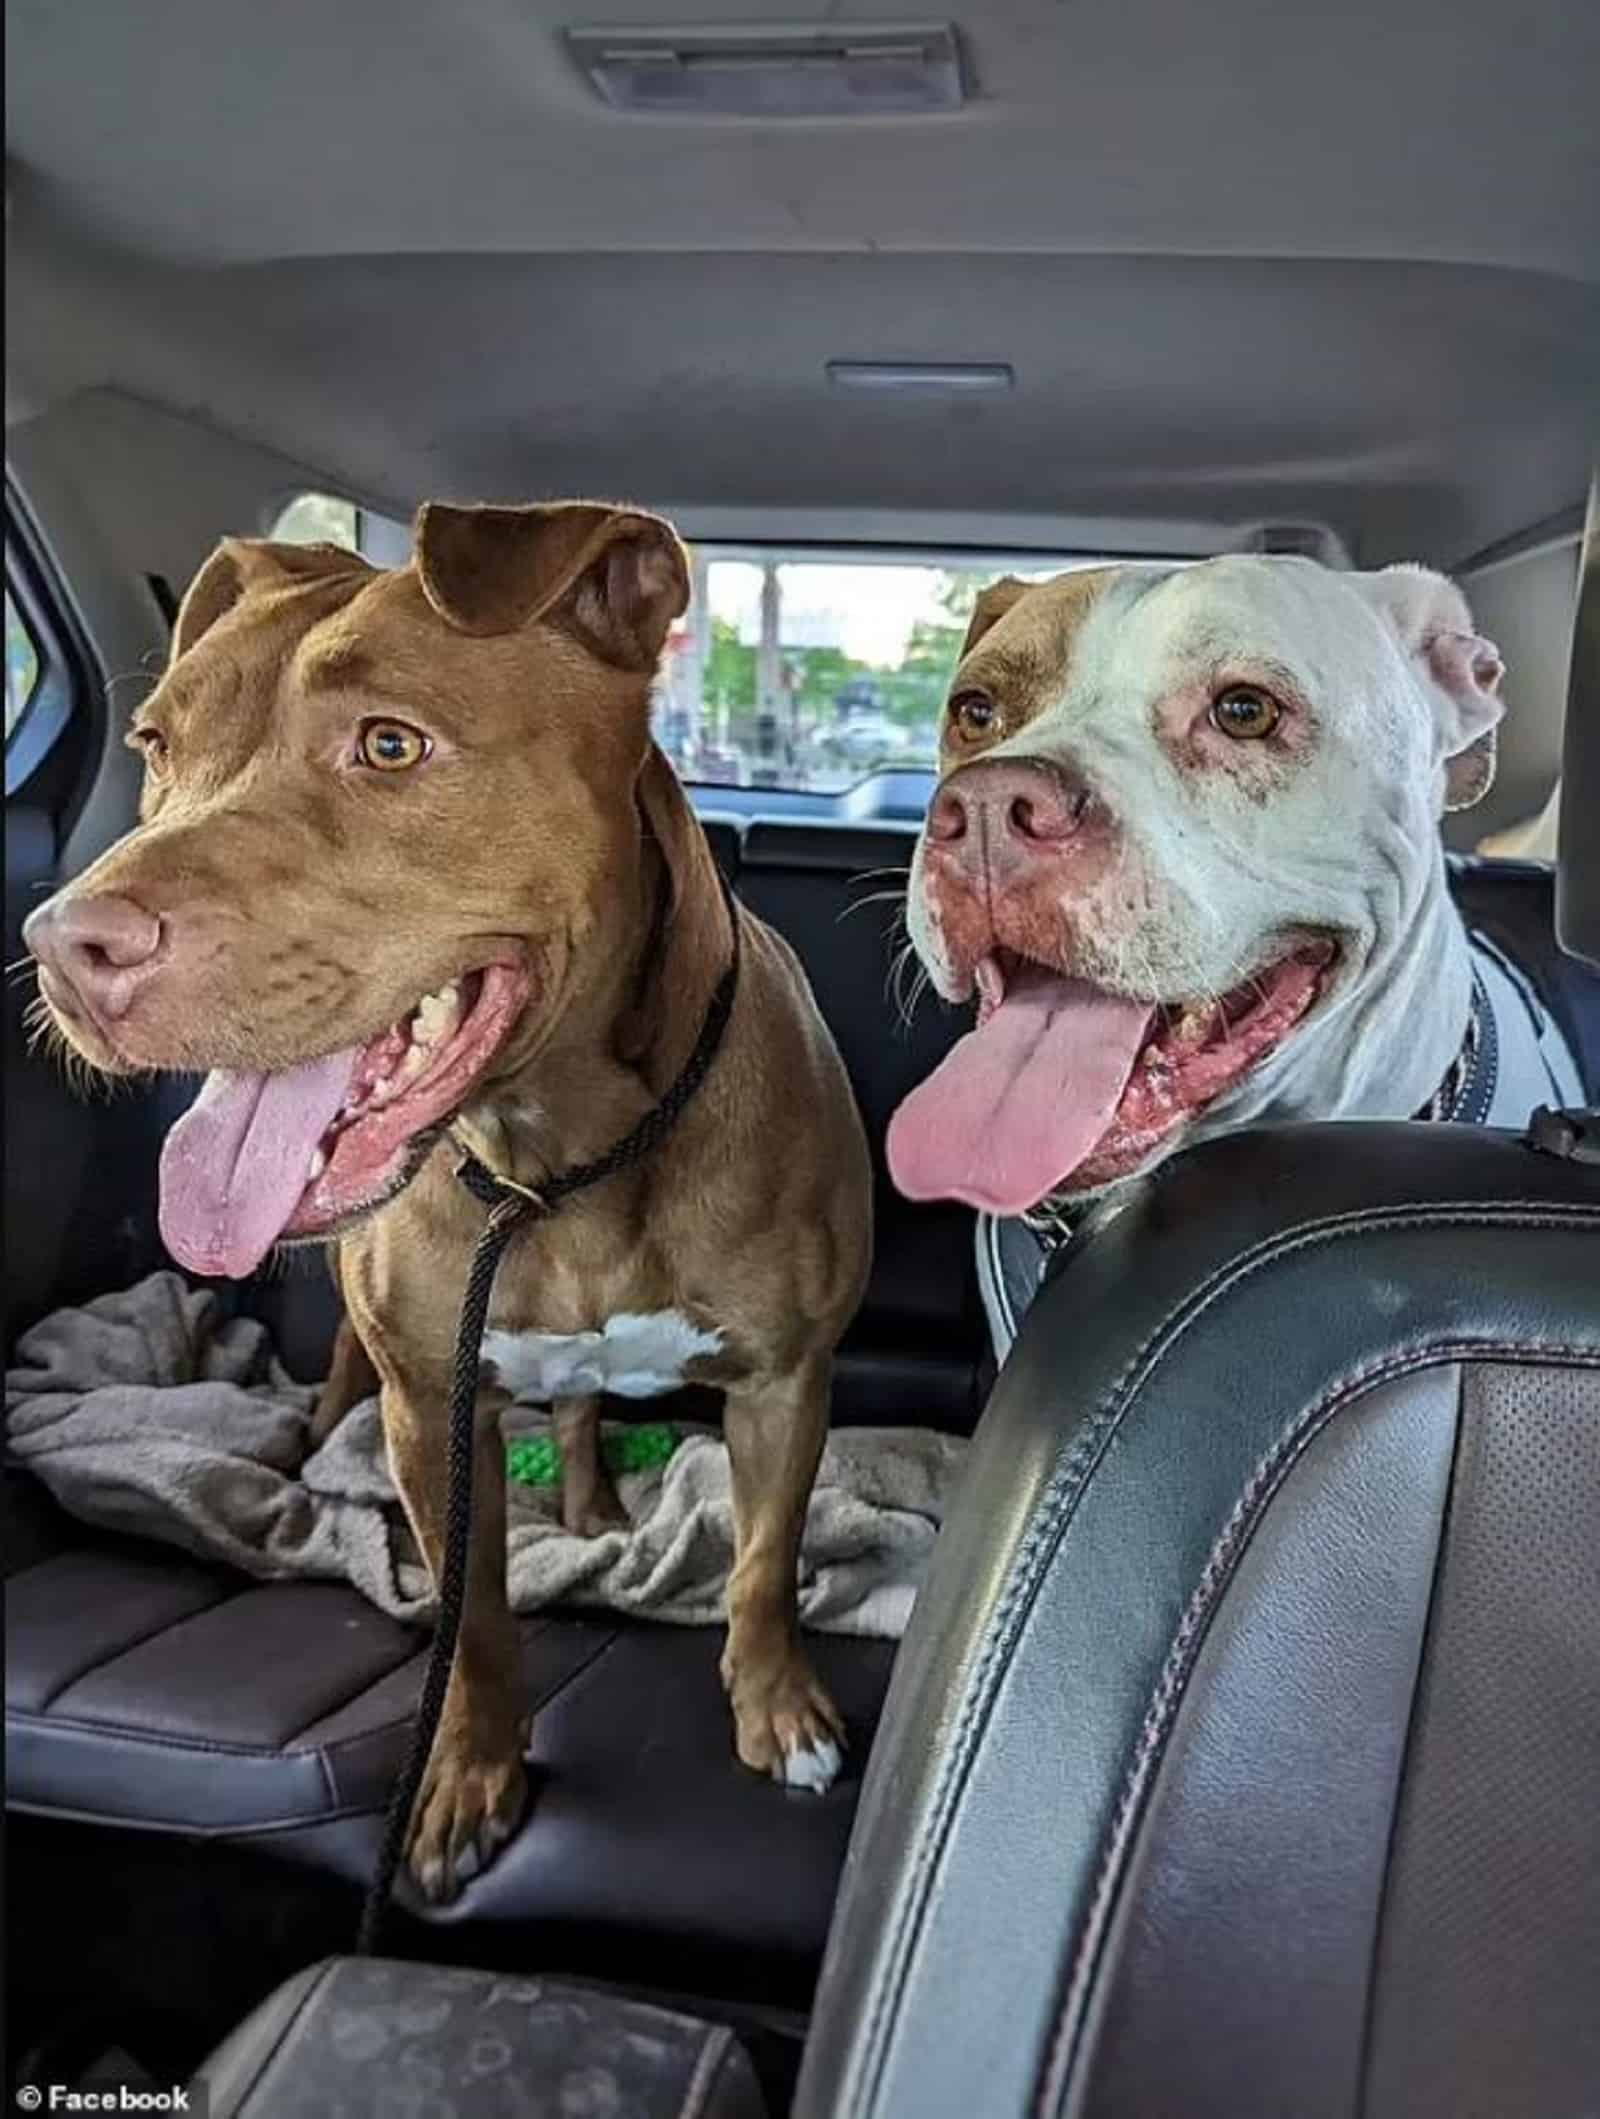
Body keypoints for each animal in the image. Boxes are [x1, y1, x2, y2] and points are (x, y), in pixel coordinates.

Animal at [21, 500, 877, 1907]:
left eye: (389, 744)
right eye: (157, 746)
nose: (64, 947)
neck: (562, 1155)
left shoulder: (783, 1381)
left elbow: (761, 1567)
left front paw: (778, 1710)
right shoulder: (434, 1403)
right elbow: (475, 1621)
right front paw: (468, 1779)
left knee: (582, 1413)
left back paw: (592, 1513)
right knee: (361, 1401)